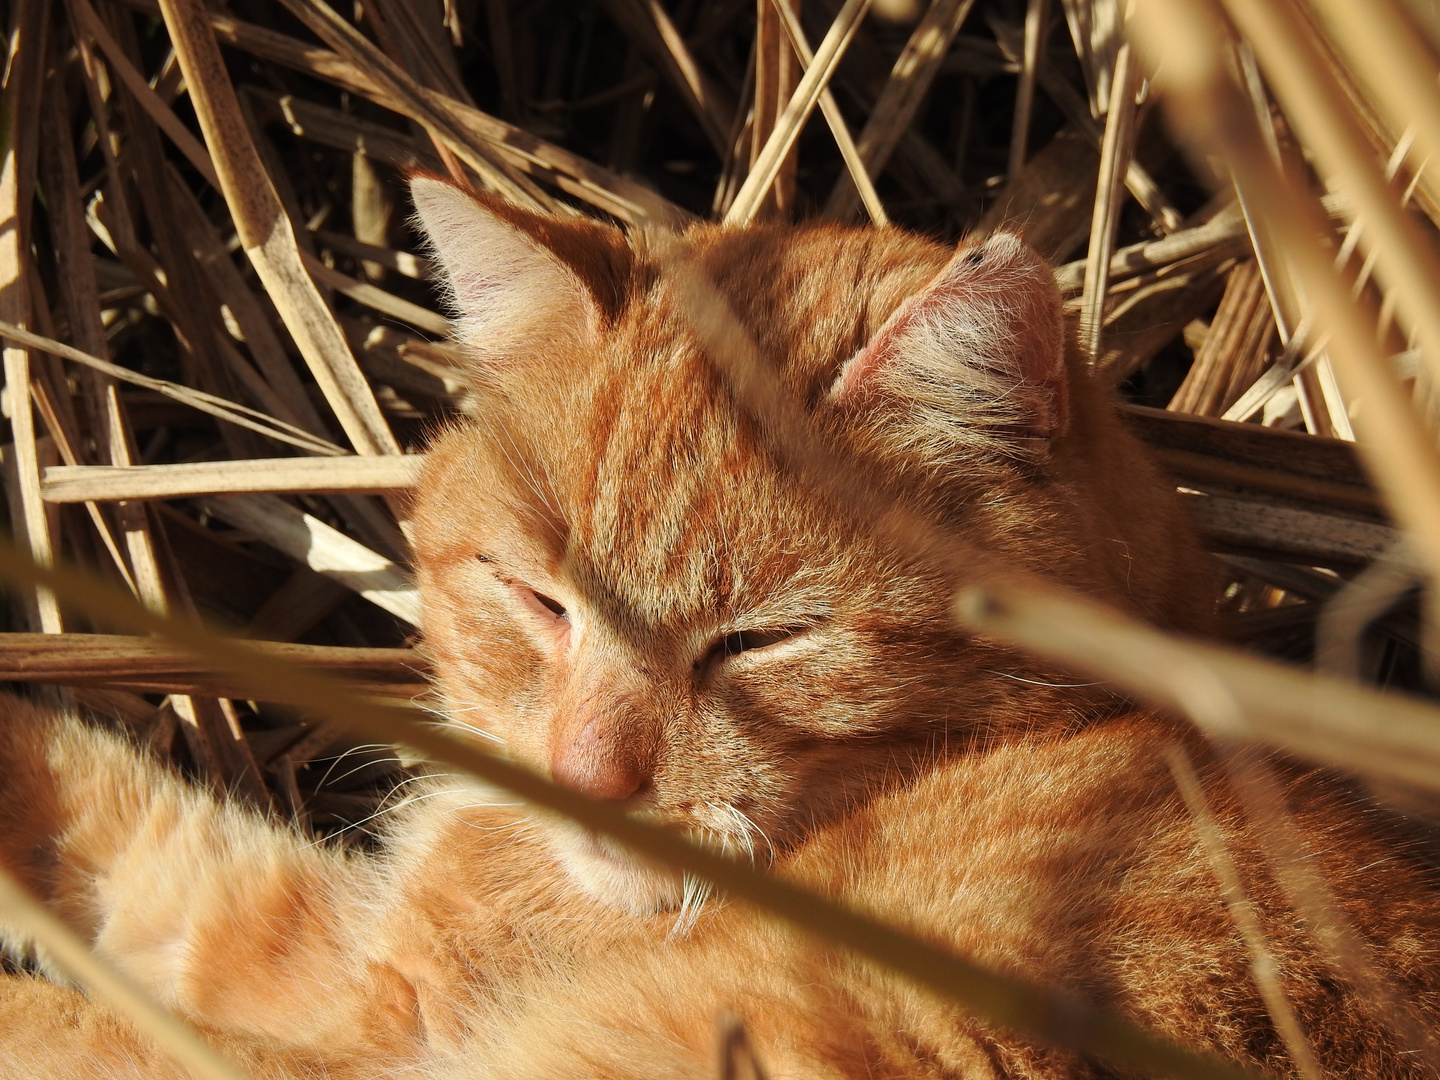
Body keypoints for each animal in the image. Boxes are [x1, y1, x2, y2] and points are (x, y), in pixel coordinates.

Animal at [2, 180, 1440, 1080]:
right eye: (540, 598)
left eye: (760, 644)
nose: (586, 777)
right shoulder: (308, 953)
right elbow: (146, 838)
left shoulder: (366, 1041)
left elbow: (90, 1029)